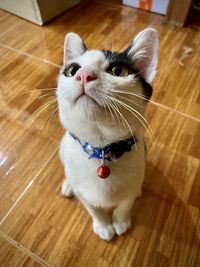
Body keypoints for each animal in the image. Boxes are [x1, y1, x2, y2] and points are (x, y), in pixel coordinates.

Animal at [56, 28, 158, 242]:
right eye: (72, 70)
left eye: (118, 71)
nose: (83, 75)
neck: (101, 148)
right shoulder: (84, 193)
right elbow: (93, 208)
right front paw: (103, 225)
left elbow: (125, 203)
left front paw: (120, 221)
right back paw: (69, 185)